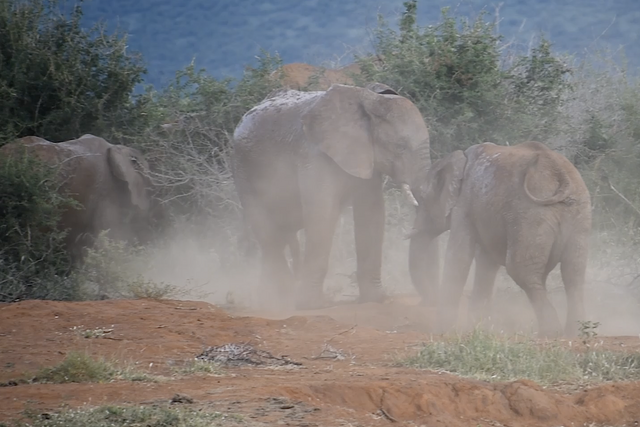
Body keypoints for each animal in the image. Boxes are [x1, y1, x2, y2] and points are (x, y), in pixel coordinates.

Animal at [231, 83, 436, 310]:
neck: (366, 99)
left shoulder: (366, 157)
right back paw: (278, 300)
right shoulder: (313, 155)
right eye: (400, 147)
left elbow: (371, 213)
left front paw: (374, 299)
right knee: (268, 235)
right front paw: (311, 305)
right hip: (243, 172)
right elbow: (323, 214)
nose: (427, 301)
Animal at [409, 141, 592, 337]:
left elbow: (459, 257)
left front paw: (442, 332)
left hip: (530, 214)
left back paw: (551, 333)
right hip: (578, 214)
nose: (425, 303)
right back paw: (574, 333)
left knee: (521, 270)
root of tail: (559, 174)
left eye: (423, 197)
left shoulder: (464, 205)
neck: (459, 159)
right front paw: (477, 328)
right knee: (573, 273)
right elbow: (485, 263)